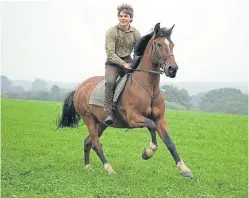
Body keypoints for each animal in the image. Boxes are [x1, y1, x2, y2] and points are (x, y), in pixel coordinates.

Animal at [57, 22, 193, 178]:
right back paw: (109, 169)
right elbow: (151, 125)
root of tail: (79, 88)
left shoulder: (160, 119)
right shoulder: (134, 119)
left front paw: (184, 169)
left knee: (88, 142)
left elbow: (170, 143)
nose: (172, 69)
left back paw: (87, 167)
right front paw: (148, 152)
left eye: (172, 45)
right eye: (159, 44)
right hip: (89, 119)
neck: (149, 88)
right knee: (96, 144)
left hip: (101, 123)